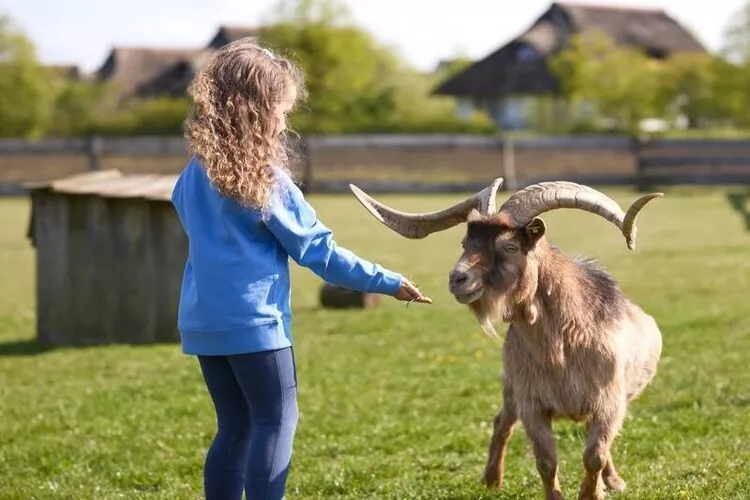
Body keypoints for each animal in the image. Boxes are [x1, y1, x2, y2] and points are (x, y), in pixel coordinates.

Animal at [352, 180, 664, 500]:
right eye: (466, 244)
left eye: (509, 247)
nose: (457, 279)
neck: (562, 348)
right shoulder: (532, 404)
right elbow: (546, 461)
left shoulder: (607, 402)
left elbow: (595, 455)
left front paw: (594, 492)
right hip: (511, 389)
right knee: (502, 422)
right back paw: (491, 478)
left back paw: (612, 481)